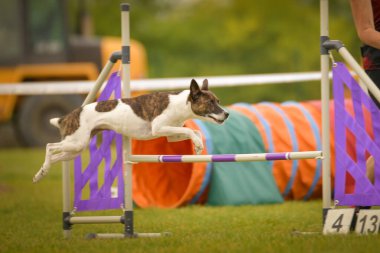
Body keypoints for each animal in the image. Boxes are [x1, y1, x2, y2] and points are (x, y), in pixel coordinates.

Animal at [33, 78, 229, 182]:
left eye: (218, 101)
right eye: (210, 102)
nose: (227, 114)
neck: (182, 104)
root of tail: (66, 117)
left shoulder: (171, 134)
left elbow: (195, 132)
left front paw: (198, 146)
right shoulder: (159, 127)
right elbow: (190, 132)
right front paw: (197, 145)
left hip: (74, 149)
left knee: (56, 156)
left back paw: (41, 173)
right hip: (76, 142)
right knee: (50, 146)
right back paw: (43, 169)